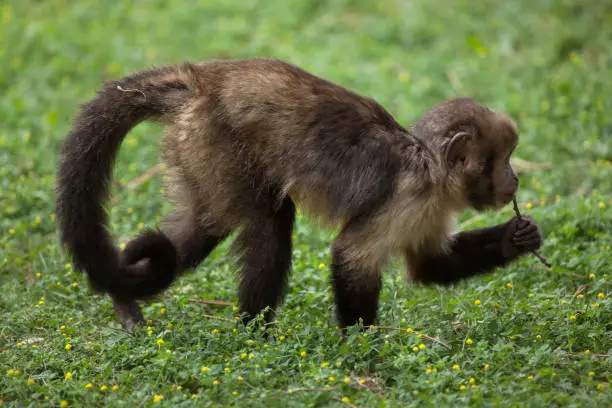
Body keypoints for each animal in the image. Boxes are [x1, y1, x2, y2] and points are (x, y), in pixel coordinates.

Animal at [55, 57, 544, 330]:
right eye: (502, 160)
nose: (515, 179)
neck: (429, 166)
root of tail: (200, 82)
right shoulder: (411, 196)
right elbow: (352, 256)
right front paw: (363, 350)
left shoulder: (432, 207)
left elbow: (429, 265)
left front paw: (515, 239)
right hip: (216, 141)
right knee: (269, 219)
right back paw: (255, 340)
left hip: (192, 151)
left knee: (199, 227)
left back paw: (125, 294)